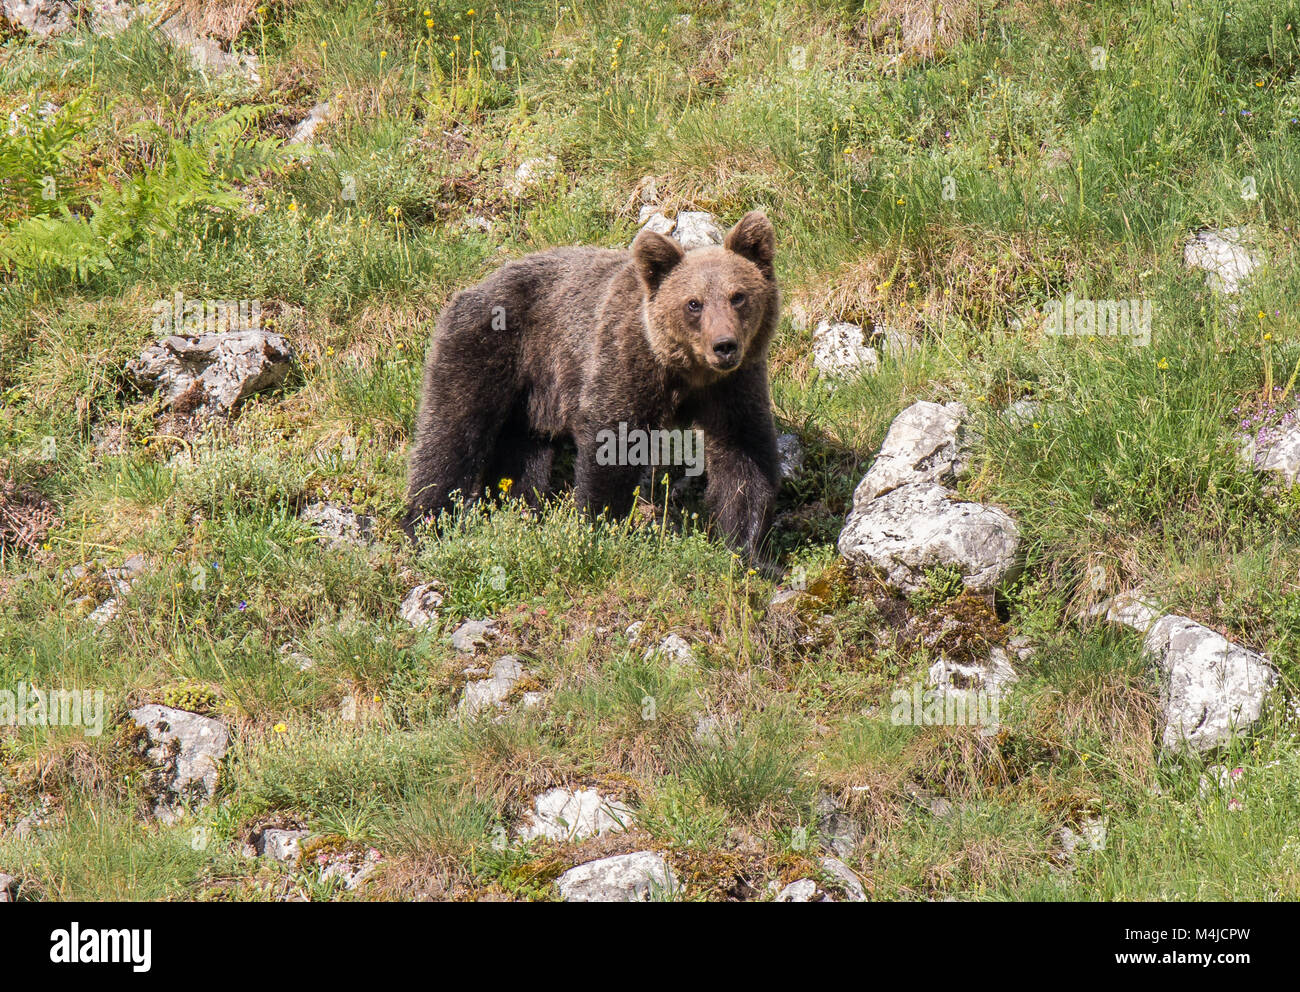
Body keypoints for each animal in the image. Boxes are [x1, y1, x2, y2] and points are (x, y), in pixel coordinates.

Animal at [400, 214, 780, 574]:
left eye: (738, 296)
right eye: (694, 303)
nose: (724, 345)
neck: (686, 371)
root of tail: (471, 287)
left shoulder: (733, 386)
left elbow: (743, 456)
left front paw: (751, 552)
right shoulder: (625, 359)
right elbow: (613, 441)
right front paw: (601, 527)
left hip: (532, 398)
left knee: (520, 456)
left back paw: (518, 512)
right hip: (487, 348)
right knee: (451, 433)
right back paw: (426, 525)